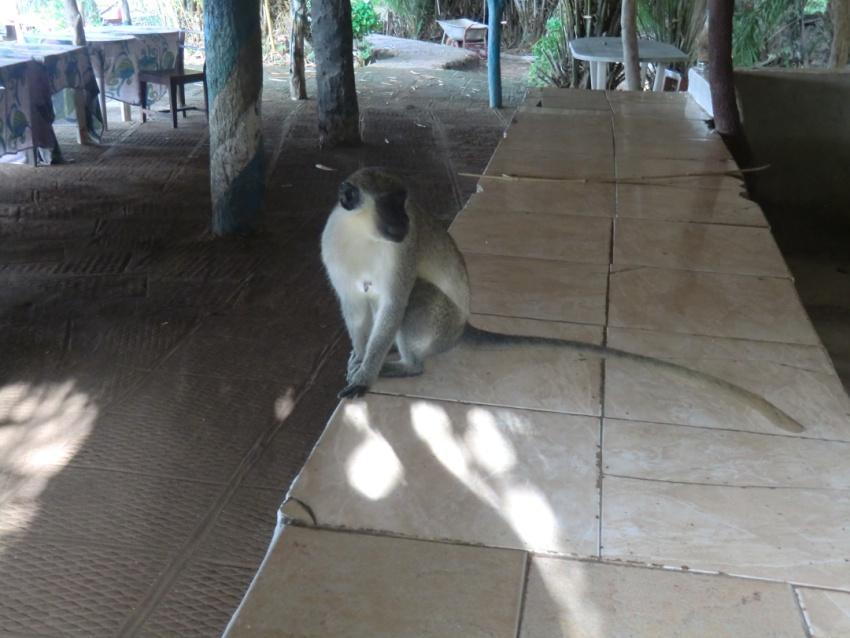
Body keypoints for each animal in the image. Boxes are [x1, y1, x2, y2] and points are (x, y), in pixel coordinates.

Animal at [320, 169, 800, 436]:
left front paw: (365, 375)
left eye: (404, 205)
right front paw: (359, 359)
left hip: (442, 320)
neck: (360, 235)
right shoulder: (333, 250)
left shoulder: (401, 254)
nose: (403, 223)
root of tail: (464, 327)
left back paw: (407, 365)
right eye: (390, 205)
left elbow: (393, 304)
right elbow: (355, 308)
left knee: (417, 298)